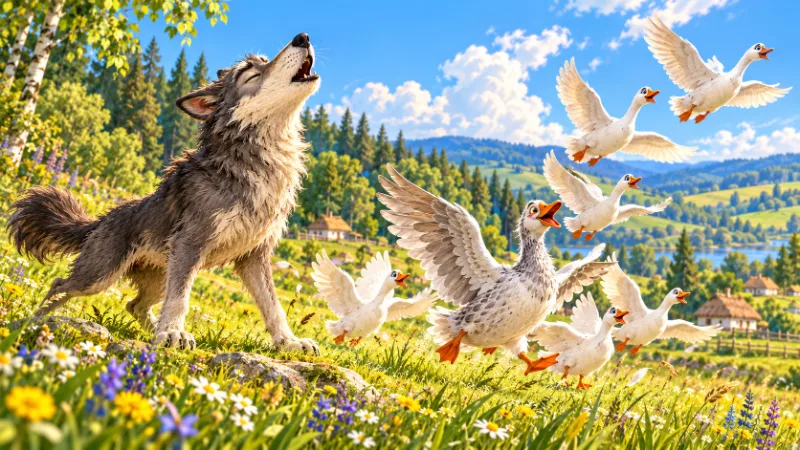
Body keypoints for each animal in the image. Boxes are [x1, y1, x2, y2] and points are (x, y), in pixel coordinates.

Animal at [8, 33, 321, 353]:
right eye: (251, 74)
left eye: (264, 62)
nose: (302, 37)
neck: (254, 163)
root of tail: (101, 219)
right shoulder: (190, 244)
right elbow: (181, 299)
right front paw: (173, 333)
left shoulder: (254, 256)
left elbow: (273, 305)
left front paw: (289, 341)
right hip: (100, 276)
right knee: (60, 285)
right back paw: (33, 322)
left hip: (159, 278)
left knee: (134, 305)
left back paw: (151, 330)